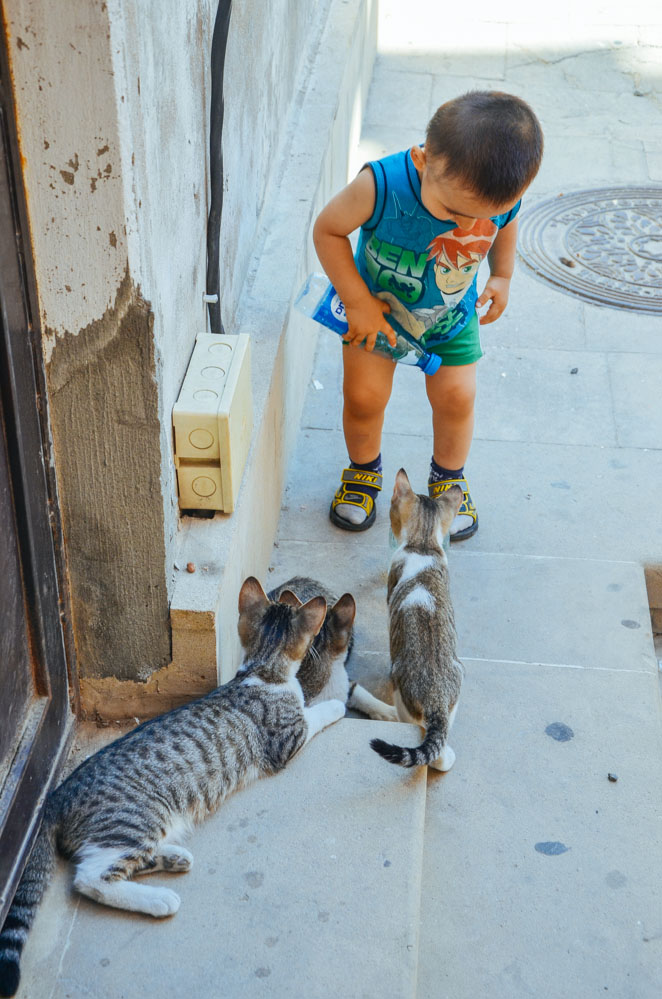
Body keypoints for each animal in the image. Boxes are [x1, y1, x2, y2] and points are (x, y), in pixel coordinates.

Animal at [0, 576, 344, 998]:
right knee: (91, 877)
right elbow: (316, 714)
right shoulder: (286, 739)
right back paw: (160, 899)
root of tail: (54, 797)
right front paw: (338, 706)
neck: (262, 669)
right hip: (135, 818)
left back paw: (174, 857)